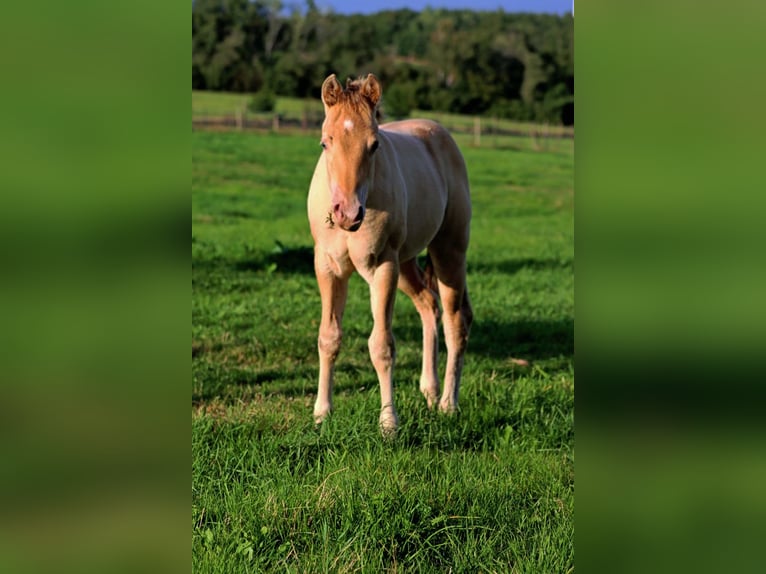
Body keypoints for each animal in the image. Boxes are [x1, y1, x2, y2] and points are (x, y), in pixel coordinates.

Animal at [307, 73, 473, 434]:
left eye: (374, 145)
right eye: (325, 143)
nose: (347, 213)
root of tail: (439, 133)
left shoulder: (382, 267)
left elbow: (381, 346)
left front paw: (388, 424)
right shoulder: (328, 268)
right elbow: (328, 337)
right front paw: (322, 413)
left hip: (448, 251)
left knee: (456, 320)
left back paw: (448, 403)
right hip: (407, 263)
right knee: (429, 306)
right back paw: (429, 391)